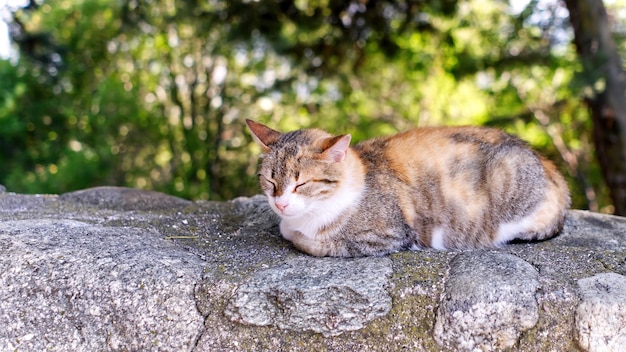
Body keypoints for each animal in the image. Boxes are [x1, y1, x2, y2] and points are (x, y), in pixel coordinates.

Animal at [246, 119, 568, 258]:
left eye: (301, 183)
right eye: (271, 181)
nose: (280, 204)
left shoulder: (388, 236)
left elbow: (308, 241)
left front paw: (296, 232)